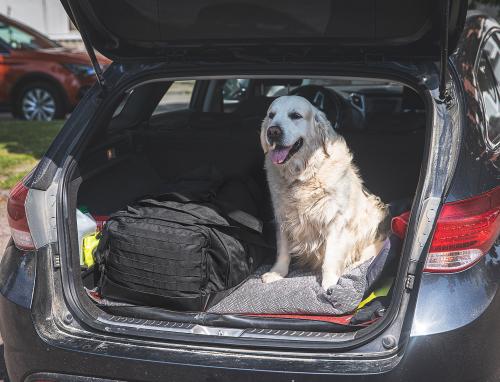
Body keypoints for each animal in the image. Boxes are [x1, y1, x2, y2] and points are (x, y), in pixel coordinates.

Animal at [260, 97, 388, 290]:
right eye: (271, 115)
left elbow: (330, 259)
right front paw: (277, 273)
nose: (273, 131)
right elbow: (282, 250)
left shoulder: (336, 220)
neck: (303, 176)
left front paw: (329, 285)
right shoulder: (282, 217)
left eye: (295, 115)